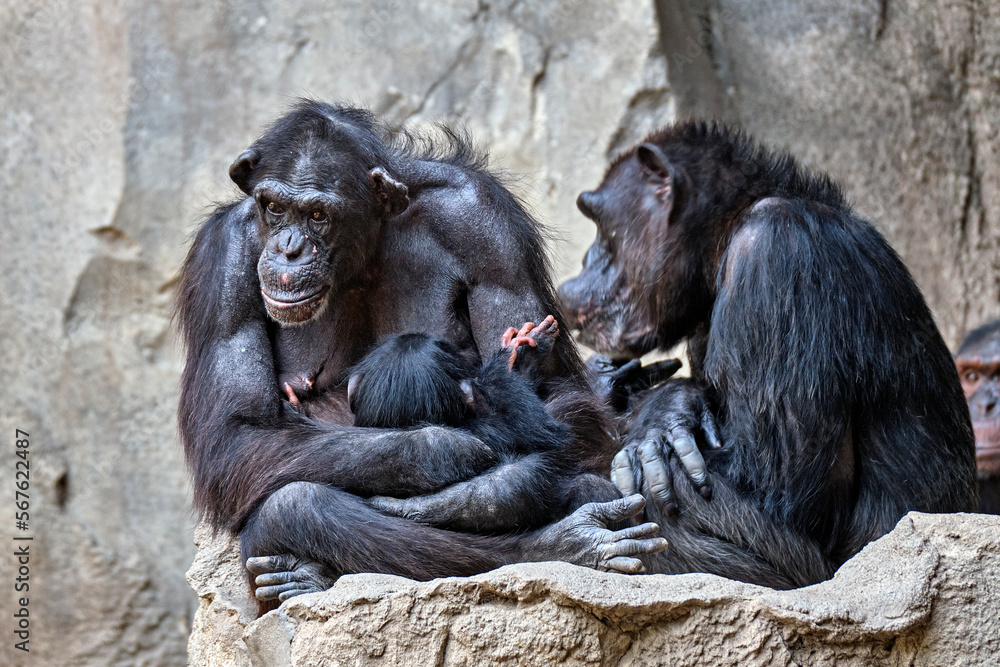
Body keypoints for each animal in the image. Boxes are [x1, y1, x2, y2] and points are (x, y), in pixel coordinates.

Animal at [178, 100, 664, 612]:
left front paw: (465, 496)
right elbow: (238, 434)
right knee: (295, 504)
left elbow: (558, 398)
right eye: (273, 207)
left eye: (317, 214)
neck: (364, 249)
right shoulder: (223, 261)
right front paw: (444, 449)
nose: (288, 249)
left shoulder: (487, 224)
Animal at [560, 121, 980, 588]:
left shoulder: (776, 252)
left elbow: (772, 485)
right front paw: (661, 401)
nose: (587, 259)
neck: (724, 234)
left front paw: (659, 413)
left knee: (656, 487)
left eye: (599, 224)